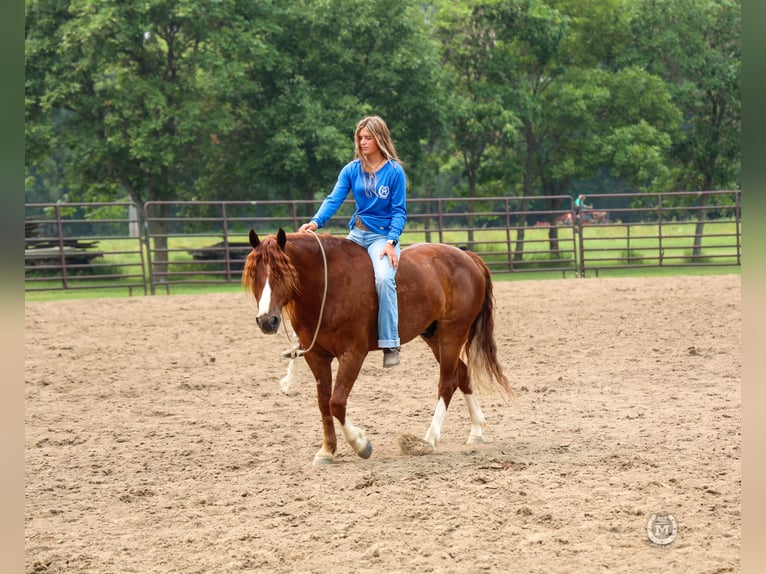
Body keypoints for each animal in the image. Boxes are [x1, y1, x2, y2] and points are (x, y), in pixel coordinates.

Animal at [243, 227, 512, 466]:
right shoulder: (317, 357)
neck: (326, 287)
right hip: (433, 336)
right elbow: (323, 403)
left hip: (452, 334)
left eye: (281, 273)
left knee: (447, 383)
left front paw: (361, 444)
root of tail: (467, 257)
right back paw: (476, 431)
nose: (267, 320)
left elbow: (336, 402)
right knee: (462, 374)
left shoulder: (353, 354)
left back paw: (429, 439)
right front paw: (327, 451)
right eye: (255, 275)